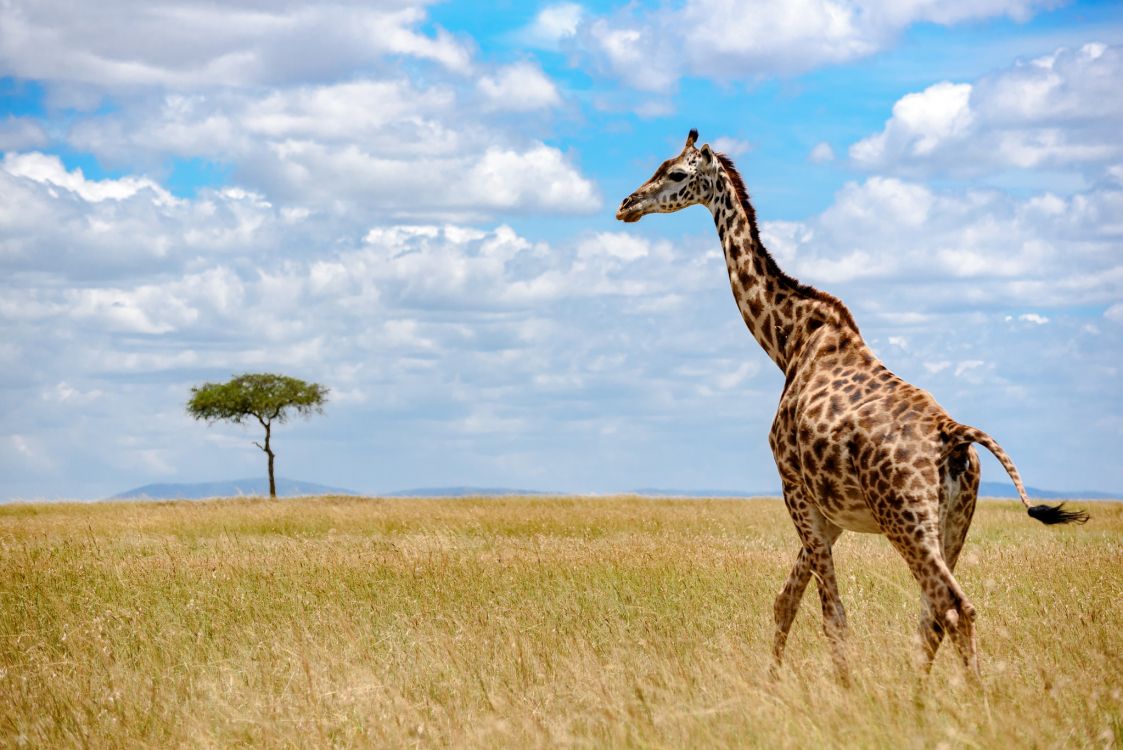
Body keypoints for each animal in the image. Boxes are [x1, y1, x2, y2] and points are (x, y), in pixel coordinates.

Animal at [616, 129, 1089, 682]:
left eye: (676, 173)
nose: (627, 205)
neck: (789, 341)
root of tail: (953, 435)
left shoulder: (794, 488)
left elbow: (831, 617)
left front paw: (839, 689)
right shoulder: (833, 514)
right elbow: (785, 601)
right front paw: (774, 684)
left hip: (906, 519)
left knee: (954, 607)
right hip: (954, 521)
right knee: (933, 613)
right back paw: (919, 695)